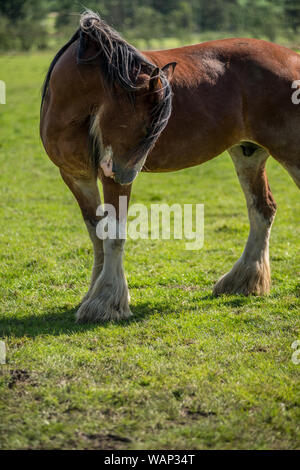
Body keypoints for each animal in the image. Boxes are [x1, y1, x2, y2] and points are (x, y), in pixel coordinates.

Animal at [40, 9, 300, 324]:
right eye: (143, 124)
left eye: (156, 126)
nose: (125, 174)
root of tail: (293, 57)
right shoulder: (76, 176)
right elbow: (97, 232)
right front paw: (93, 293)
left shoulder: (109, 175)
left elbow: (114, 233)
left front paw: (106, 302)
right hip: (248, 153)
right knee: (262, 209)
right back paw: (242, 281)